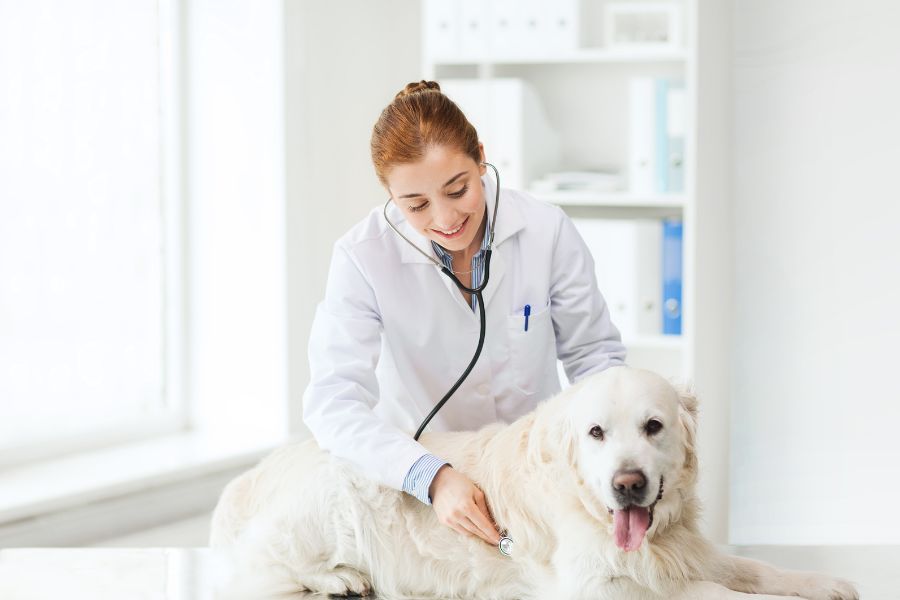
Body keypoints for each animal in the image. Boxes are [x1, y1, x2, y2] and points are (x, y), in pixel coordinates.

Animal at [209, 366, 856, 600]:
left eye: (653, 426)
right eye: (596, 432)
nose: (627, 484)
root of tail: (254, 474)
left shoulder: (682, 548)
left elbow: (751, 567)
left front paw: (822, 582)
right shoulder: (598, 587)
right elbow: (715, 593)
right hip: (329, 502)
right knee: (265, 566)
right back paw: (340, 578)